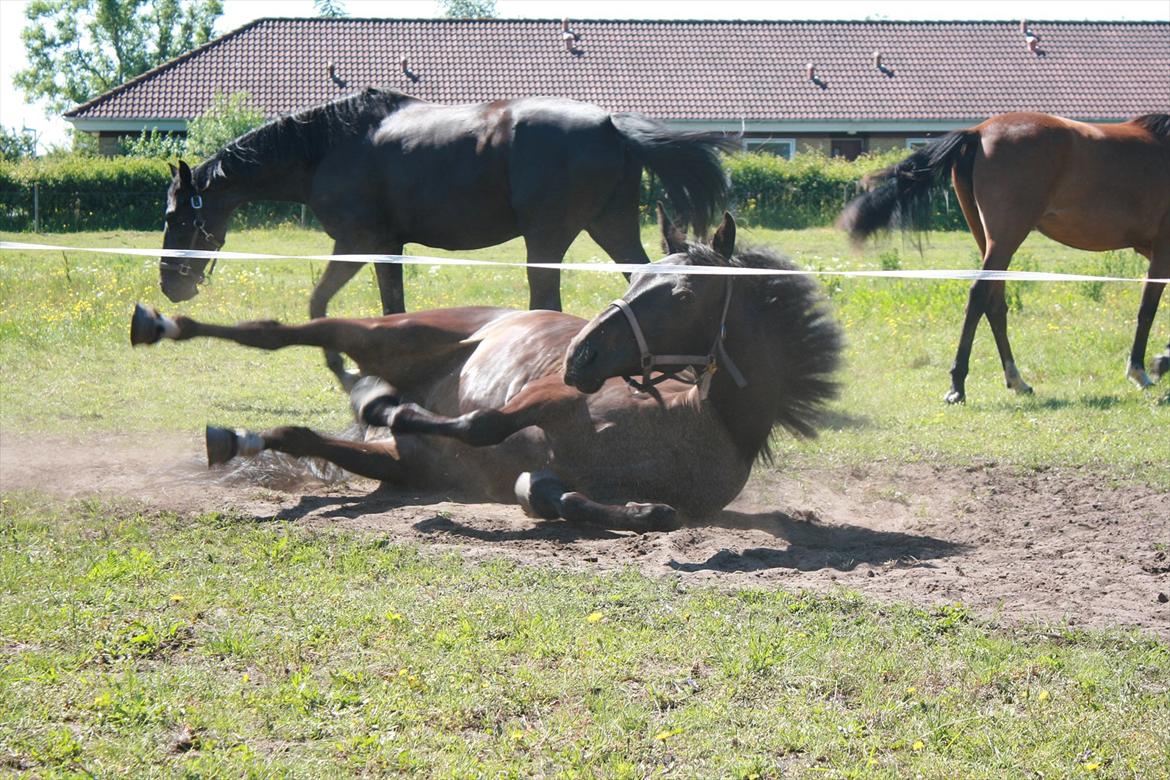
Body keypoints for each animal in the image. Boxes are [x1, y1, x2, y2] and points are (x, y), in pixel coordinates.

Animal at [134, 210, 842, 533]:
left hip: (401, 465)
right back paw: (159, 326)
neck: (699, 419)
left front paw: (609, 503)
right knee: (286, 334)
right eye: (637, 277)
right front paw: (390, 406)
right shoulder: (549, 394)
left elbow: (615, 507)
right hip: (384, 336)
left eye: (686, 294)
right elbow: (481, 424)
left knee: (302, 436)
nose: (582, 353)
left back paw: (236, 439)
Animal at [160, 89, 734, 390]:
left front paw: (344, 368)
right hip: (610, 228)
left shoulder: (355, 241)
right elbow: (390, 307)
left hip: (547, 240)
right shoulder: (385, 246)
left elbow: (319, 304)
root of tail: (612, 124)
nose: (170, 285)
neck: (327, 147)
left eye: (178, 217)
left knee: (546, 302)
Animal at [842, 112, 1170, 406]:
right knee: (979, 297)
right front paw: (1143, 369)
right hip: (1006, 239)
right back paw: (958, 387)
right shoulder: (1162, 253)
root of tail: (978, 132)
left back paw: (1016, 380)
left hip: (989, 240)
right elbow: (1148, 308)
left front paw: (1162, 358)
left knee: (994, 304)